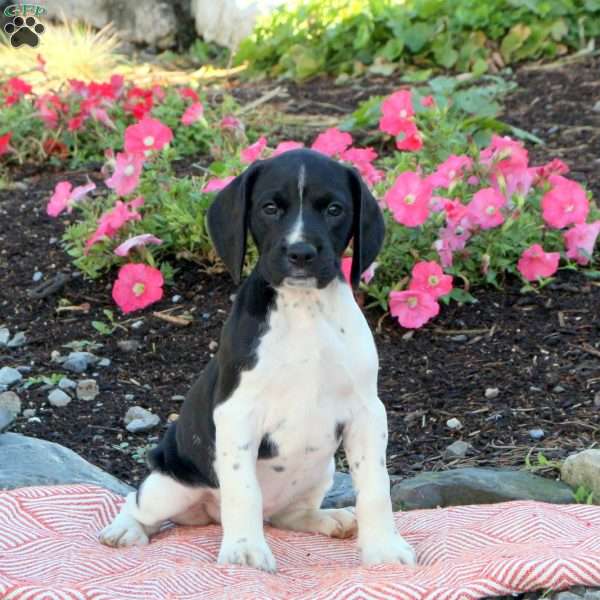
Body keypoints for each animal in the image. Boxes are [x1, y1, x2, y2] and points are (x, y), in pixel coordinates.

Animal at [99, 149, 418, 572]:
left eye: (334, 209)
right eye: (270, 208)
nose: (301, 253)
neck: (304, 310)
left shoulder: (366, 414)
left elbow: (375, 488)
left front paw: (383, 547)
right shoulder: (237, 413)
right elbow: (243, 489)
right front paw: (246, 549)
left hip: (320, 471)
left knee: (288, 515)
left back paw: (329, 518)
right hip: (170, 486)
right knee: (137, 503)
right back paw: (125, 530)